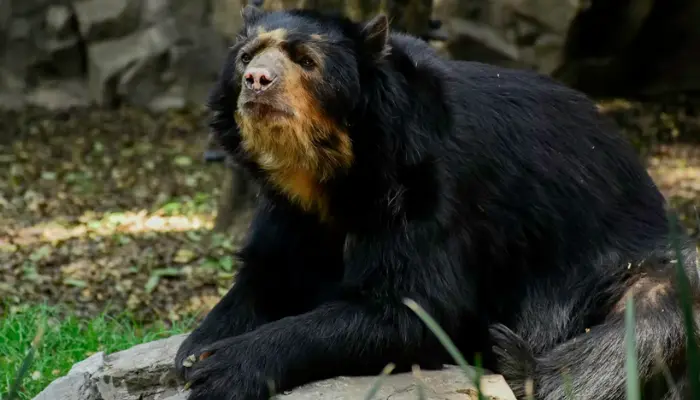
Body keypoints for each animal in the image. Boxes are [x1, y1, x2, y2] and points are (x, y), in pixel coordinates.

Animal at [174, 5, 700, 400]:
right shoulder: (291, 210)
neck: (331, 170)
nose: (256, 80)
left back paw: (516, 363)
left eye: (306, 61)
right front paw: (195, 350)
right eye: (245, 57)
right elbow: (269, 273)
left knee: (652, 311)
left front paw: (224, 368)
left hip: (631, 260)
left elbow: (410, 310)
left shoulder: (427, 187)